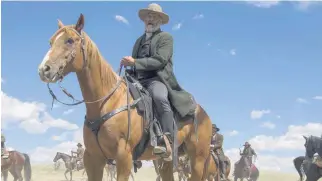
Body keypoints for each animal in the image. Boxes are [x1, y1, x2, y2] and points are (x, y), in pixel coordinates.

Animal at [37, 14, 213, 181]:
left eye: (70, 40)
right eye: (51, 42)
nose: (44, 70)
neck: (106, 103)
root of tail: (204, 114)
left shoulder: (123, 157)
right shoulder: (93, 159)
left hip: (198, 159)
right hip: (166, 161)